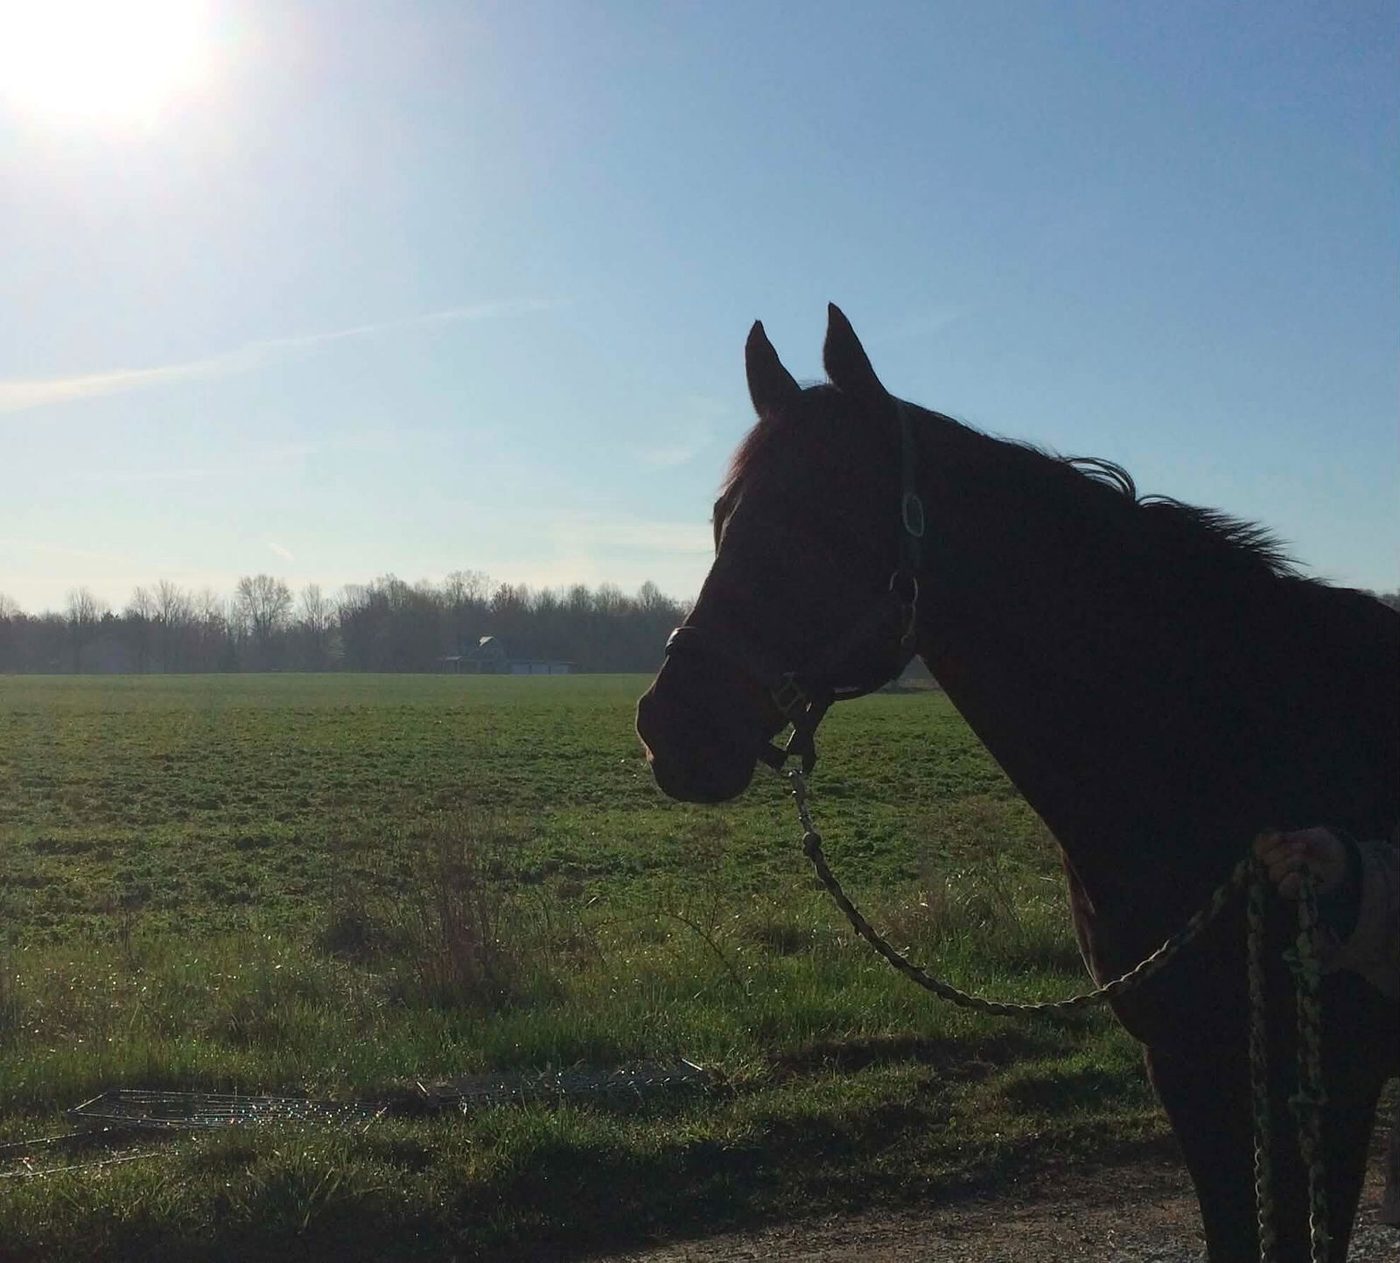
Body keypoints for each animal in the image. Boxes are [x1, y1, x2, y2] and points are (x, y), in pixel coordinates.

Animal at [635, 305, 1398, 1262]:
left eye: (829, 519)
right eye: (722, 516)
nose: (672, 727)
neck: (1231, 736)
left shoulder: (1336, 1071)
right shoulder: (1189, 1061)